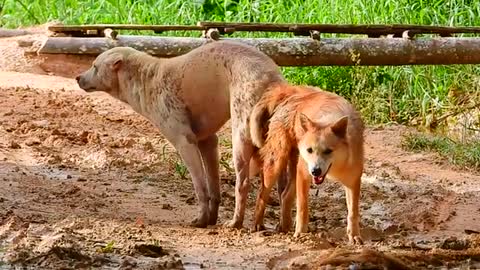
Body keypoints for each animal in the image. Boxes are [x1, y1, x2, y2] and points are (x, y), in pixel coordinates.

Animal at [75, 40, 284, 228]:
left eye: (94, 66)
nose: (77, 77)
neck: (145, 79)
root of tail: (272, 78)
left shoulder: (185, 142)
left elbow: (200, 187)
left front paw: (201, 221)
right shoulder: (208, 141)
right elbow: (213, 187)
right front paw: (211, 219)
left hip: (241, 140)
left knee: (243, 183)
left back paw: (236, 223)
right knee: (279, 187)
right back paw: (275, 226)